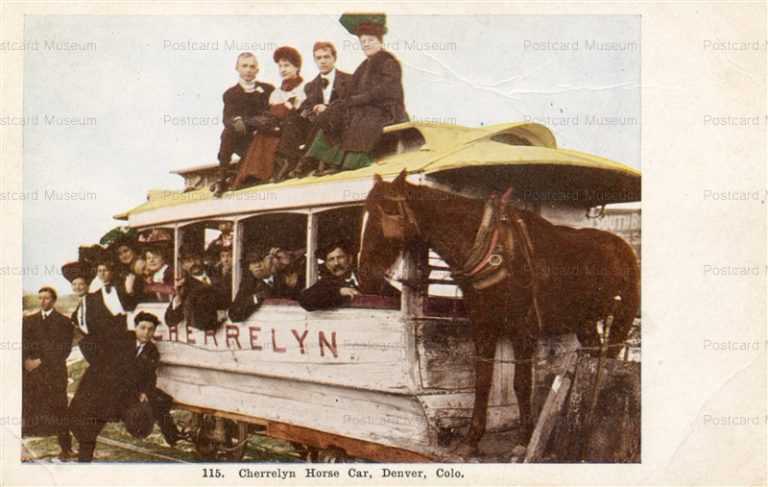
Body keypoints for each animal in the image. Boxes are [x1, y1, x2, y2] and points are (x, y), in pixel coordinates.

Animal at [356, 171, 640, 458]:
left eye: (388, 209)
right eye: (365, 212)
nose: (364, 272)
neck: (495, 249)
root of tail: (624, 246)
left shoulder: (524, 330)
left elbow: (522, 384)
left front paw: (524, 439)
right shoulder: (483, 326)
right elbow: (483, 382)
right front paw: (472, 439)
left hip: (623, 317)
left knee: (609, 358)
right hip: (585, 321)